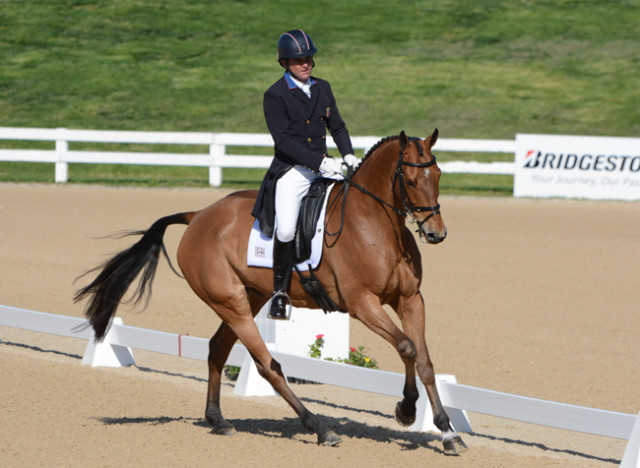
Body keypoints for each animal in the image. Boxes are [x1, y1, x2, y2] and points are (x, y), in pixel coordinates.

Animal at [75, 130, 468, 456]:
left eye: (438, 176)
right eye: (411, 180)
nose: (436, 234)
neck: (375, 224)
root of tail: (199, 215)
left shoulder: (410, 300)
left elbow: (424, 361)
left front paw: (448, 433)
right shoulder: (362, 304)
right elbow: (407, 347)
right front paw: (406, 410)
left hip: (250, 296)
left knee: (217, 349)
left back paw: (217, 419)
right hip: (231, 303)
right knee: (268, 365)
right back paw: (319, 428)